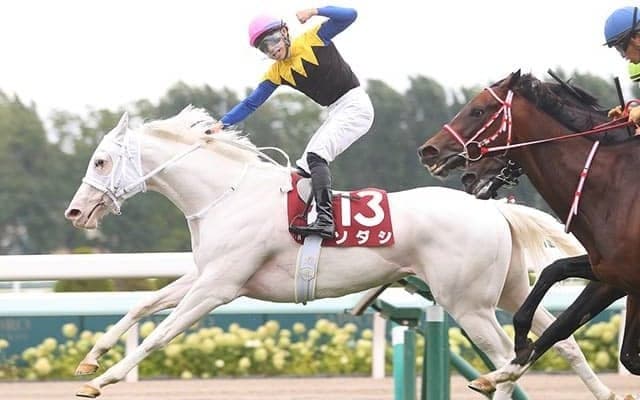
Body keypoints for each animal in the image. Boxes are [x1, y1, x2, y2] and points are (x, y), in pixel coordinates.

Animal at [64, 106, 618, 399]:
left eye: (101, 160)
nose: (76, 212)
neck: (226, 193)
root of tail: (493, 210)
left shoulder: (219, 286)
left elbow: (162, 332)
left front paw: (105, 379)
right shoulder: (204, 274)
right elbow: (141, 305)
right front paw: (90, 360)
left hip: (468, 304)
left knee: (508, 358)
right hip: (509, 291)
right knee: (560, 343)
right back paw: (606, 391)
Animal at [418, 71, 639, 396]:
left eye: (478, 110)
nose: (428, 150)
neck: (615, 186)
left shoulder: (625, 279)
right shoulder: (611, 274)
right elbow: (559, 300)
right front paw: (507, 364)